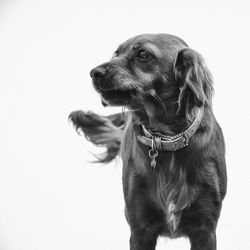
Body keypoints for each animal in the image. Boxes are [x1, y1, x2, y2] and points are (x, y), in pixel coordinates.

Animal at [69, 33, 228, 250]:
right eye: (116, 53)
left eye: (143, 54)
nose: (94, 73)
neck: (166, 139)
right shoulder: (140, 227)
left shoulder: (205, 227)